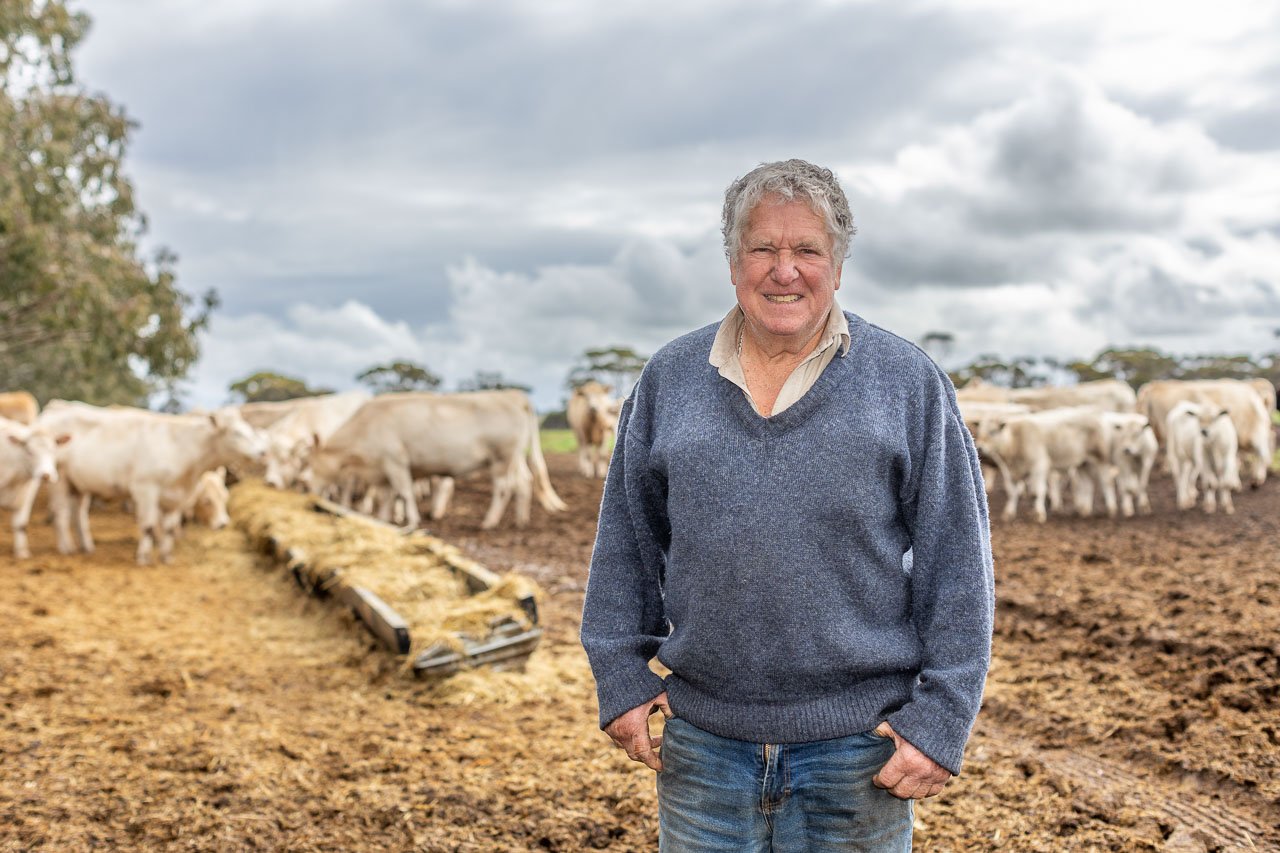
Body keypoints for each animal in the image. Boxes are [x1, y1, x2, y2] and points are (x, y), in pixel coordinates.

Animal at [0, 417, 69, 558]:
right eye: (29, 451)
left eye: (53, 450)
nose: (46, 475)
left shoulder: (27, 494)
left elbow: (21, 524)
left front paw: (22, 553)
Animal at [41, 399, 268, 560]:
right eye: (237, 433)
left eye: (225, 496)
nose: (262, 451)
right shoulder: (145, 489)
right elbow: (149, 525)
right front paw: (144, 556)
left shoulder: (173, 497)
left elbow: (168, 527)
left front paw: (166, 556)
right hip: (59, 480)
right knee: (61, 514)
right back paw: (66, 547)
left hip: (77, 485)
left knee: (78, 515)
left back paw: (86, 546)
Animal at [304, 389, 565, 527]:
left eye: (312, 465)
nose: (309, 491)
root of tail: (513, 395)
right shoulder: (382, 470)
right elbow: (387, 497)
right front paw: (383, 520)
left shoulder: (395, 461)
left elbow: (405, 493)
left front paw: (412, 521)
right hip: (515, 458)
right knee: (524, 482)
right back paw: (520, 520)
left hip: (502, 458)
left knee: (504, 488)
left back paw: (488, 522)